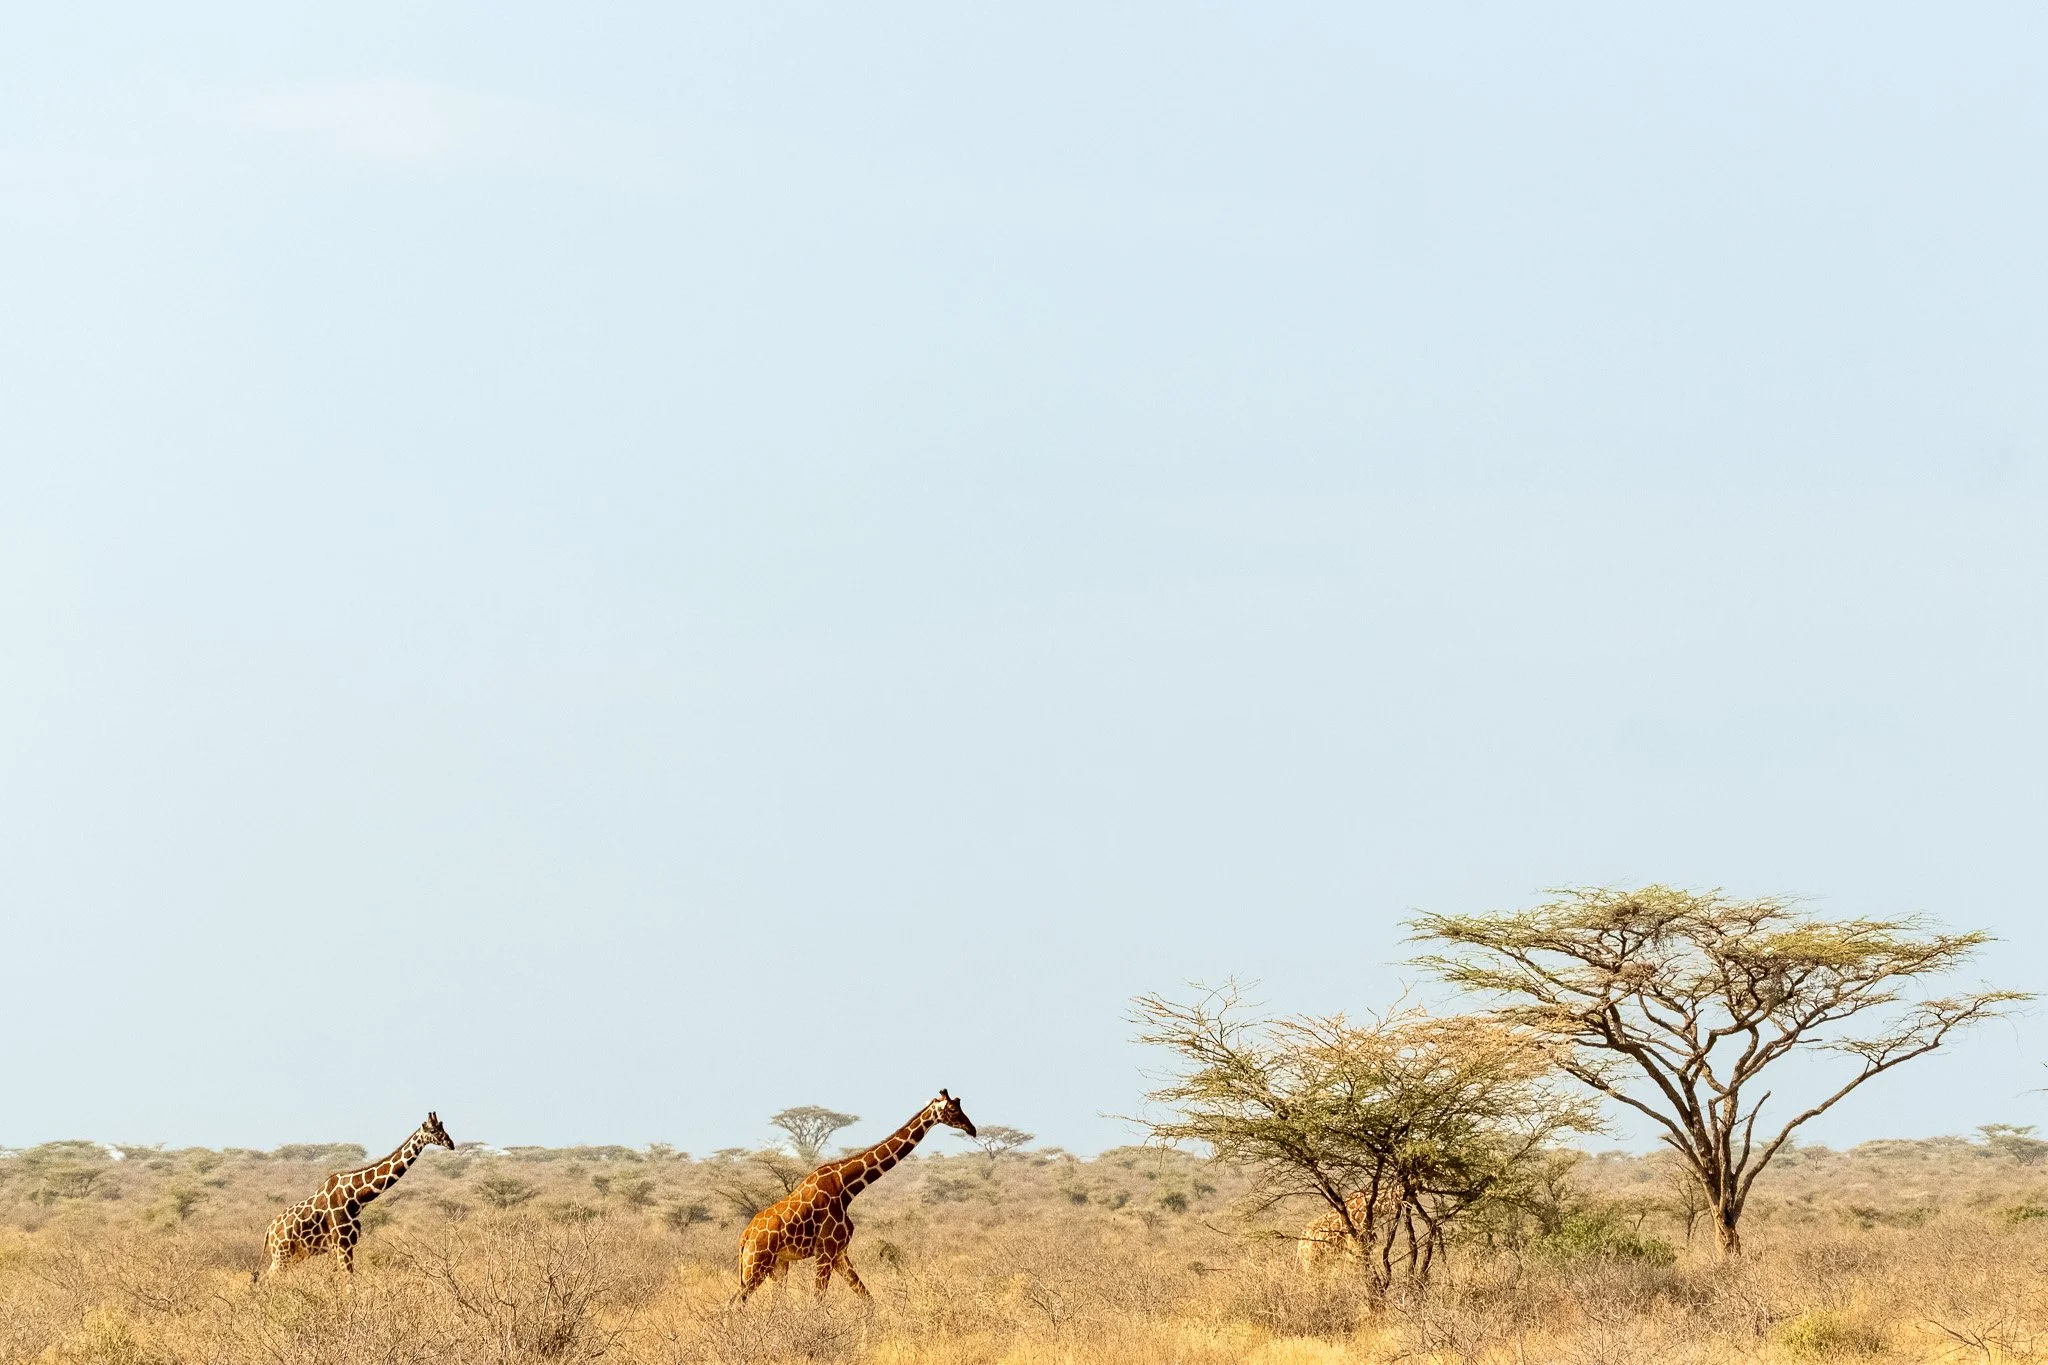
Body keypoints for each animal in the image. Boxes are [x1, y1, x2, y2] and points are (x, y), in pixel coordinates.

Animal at [261, 1112, 454, 1277]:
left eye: (443, 1126)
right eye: (433, 1130)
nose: (450, 1143)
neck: (355, 1198)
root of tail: (269, 1230)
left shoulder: (346, 1244)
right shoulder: (342, 1243)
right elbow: (349, 1283)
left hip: (290, 1256)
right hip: (282, 1254)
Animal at [735, 1089, 976, 1301]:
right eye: (953, 1109)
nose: (972, 1129)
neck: (846, 1187)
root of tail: (745, 1236)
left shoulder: (840, 1253)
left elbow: (869, 1301)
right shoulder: (826, 1251)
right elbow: (816, 1303)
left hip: (777, 1265)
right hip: (756, 1264)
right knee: (735, 1302)